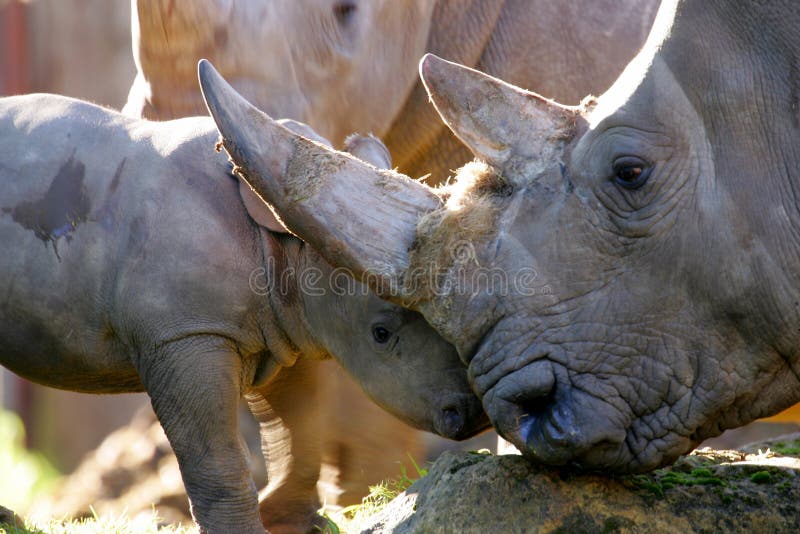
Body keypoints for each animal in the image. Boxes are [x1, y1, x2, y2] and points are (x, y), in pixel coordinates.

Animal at [0, 93, 488, 534]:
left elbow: (300, 432)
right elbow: (215, 452)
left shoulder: (286, 329)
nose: (471, 415)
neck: (285, 246)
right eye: (381, 334)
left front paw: (292, 522)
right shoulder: (186, 334)